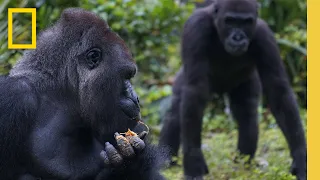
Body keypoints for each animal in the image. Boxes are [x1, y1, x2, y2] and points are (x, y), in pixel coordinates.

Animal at [159, 0, 306, 179]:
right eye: (229, 21)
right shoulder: (196, 27)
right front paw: (193, 163)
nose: (238, 37)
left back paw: (243, 163)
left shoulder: (264, 35)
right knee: (175, 111)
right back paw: (166, 161)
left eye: (246, 22)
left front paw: (301, 158)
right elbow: (195, 91)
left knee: (247, 112)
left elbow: (278, 90)